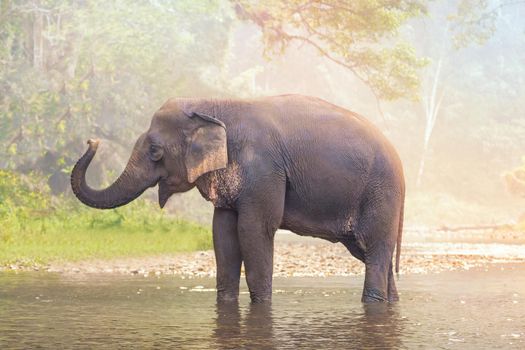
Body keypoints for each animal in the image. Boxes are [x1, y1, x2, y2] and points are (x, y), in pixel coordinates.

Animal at [70, 94, 406, 302]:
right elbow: (223, 233)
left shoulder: (263, 169)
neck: (212, 104)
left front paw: (261, 305)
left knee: (375, 249)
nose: (91, 140)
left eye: (155, 151)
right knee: (369, 252)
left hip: (380, 193)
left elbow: (254, 230)